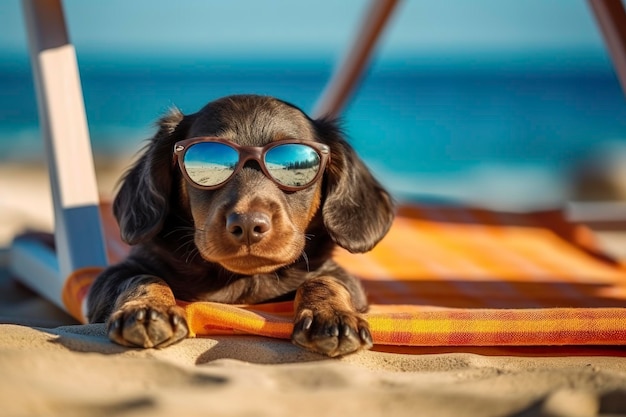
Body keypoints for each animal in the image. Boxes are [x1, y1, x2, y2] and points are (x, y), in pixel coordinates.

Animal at [86, 93, 394, 354]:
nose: (247, 225)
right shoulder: (112, 276)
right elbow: (142, 278)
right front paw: (148, 311)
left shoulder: (341, 277)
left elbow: (324, 281)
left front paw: (332, 317)